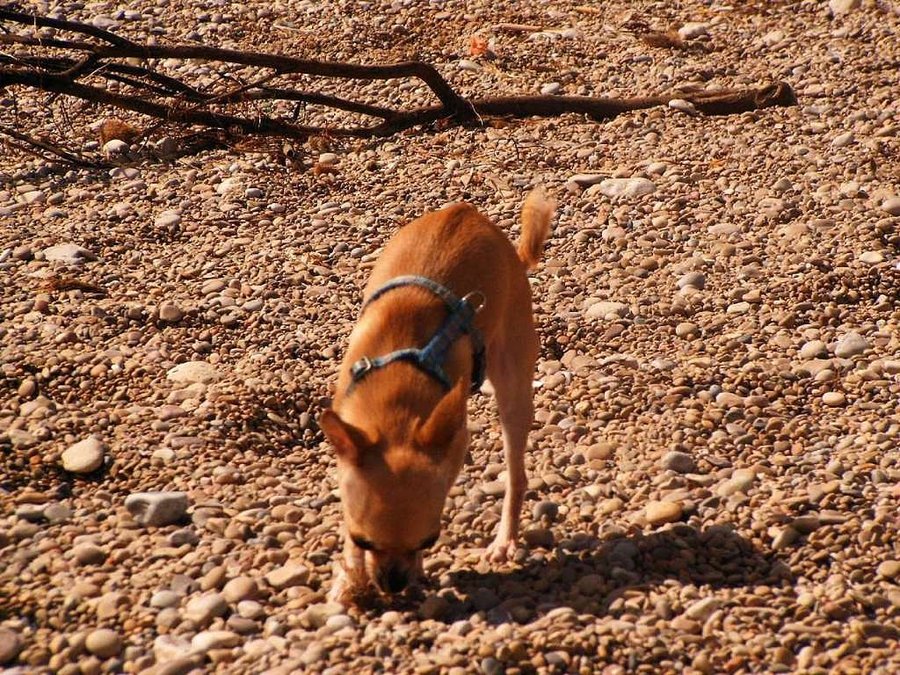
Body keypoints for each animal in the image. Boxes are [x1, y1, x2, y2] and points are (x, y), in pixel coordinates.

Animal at [319, 187, 555, 601]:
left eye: (429, 542)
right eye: (362, 540)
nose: (394, 585)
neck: (396, 393)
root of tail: (471, 214)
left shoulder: (454, 440)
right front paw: (349, 580)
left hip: (512, 382)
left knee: (516, 474)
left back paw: (504, 541)